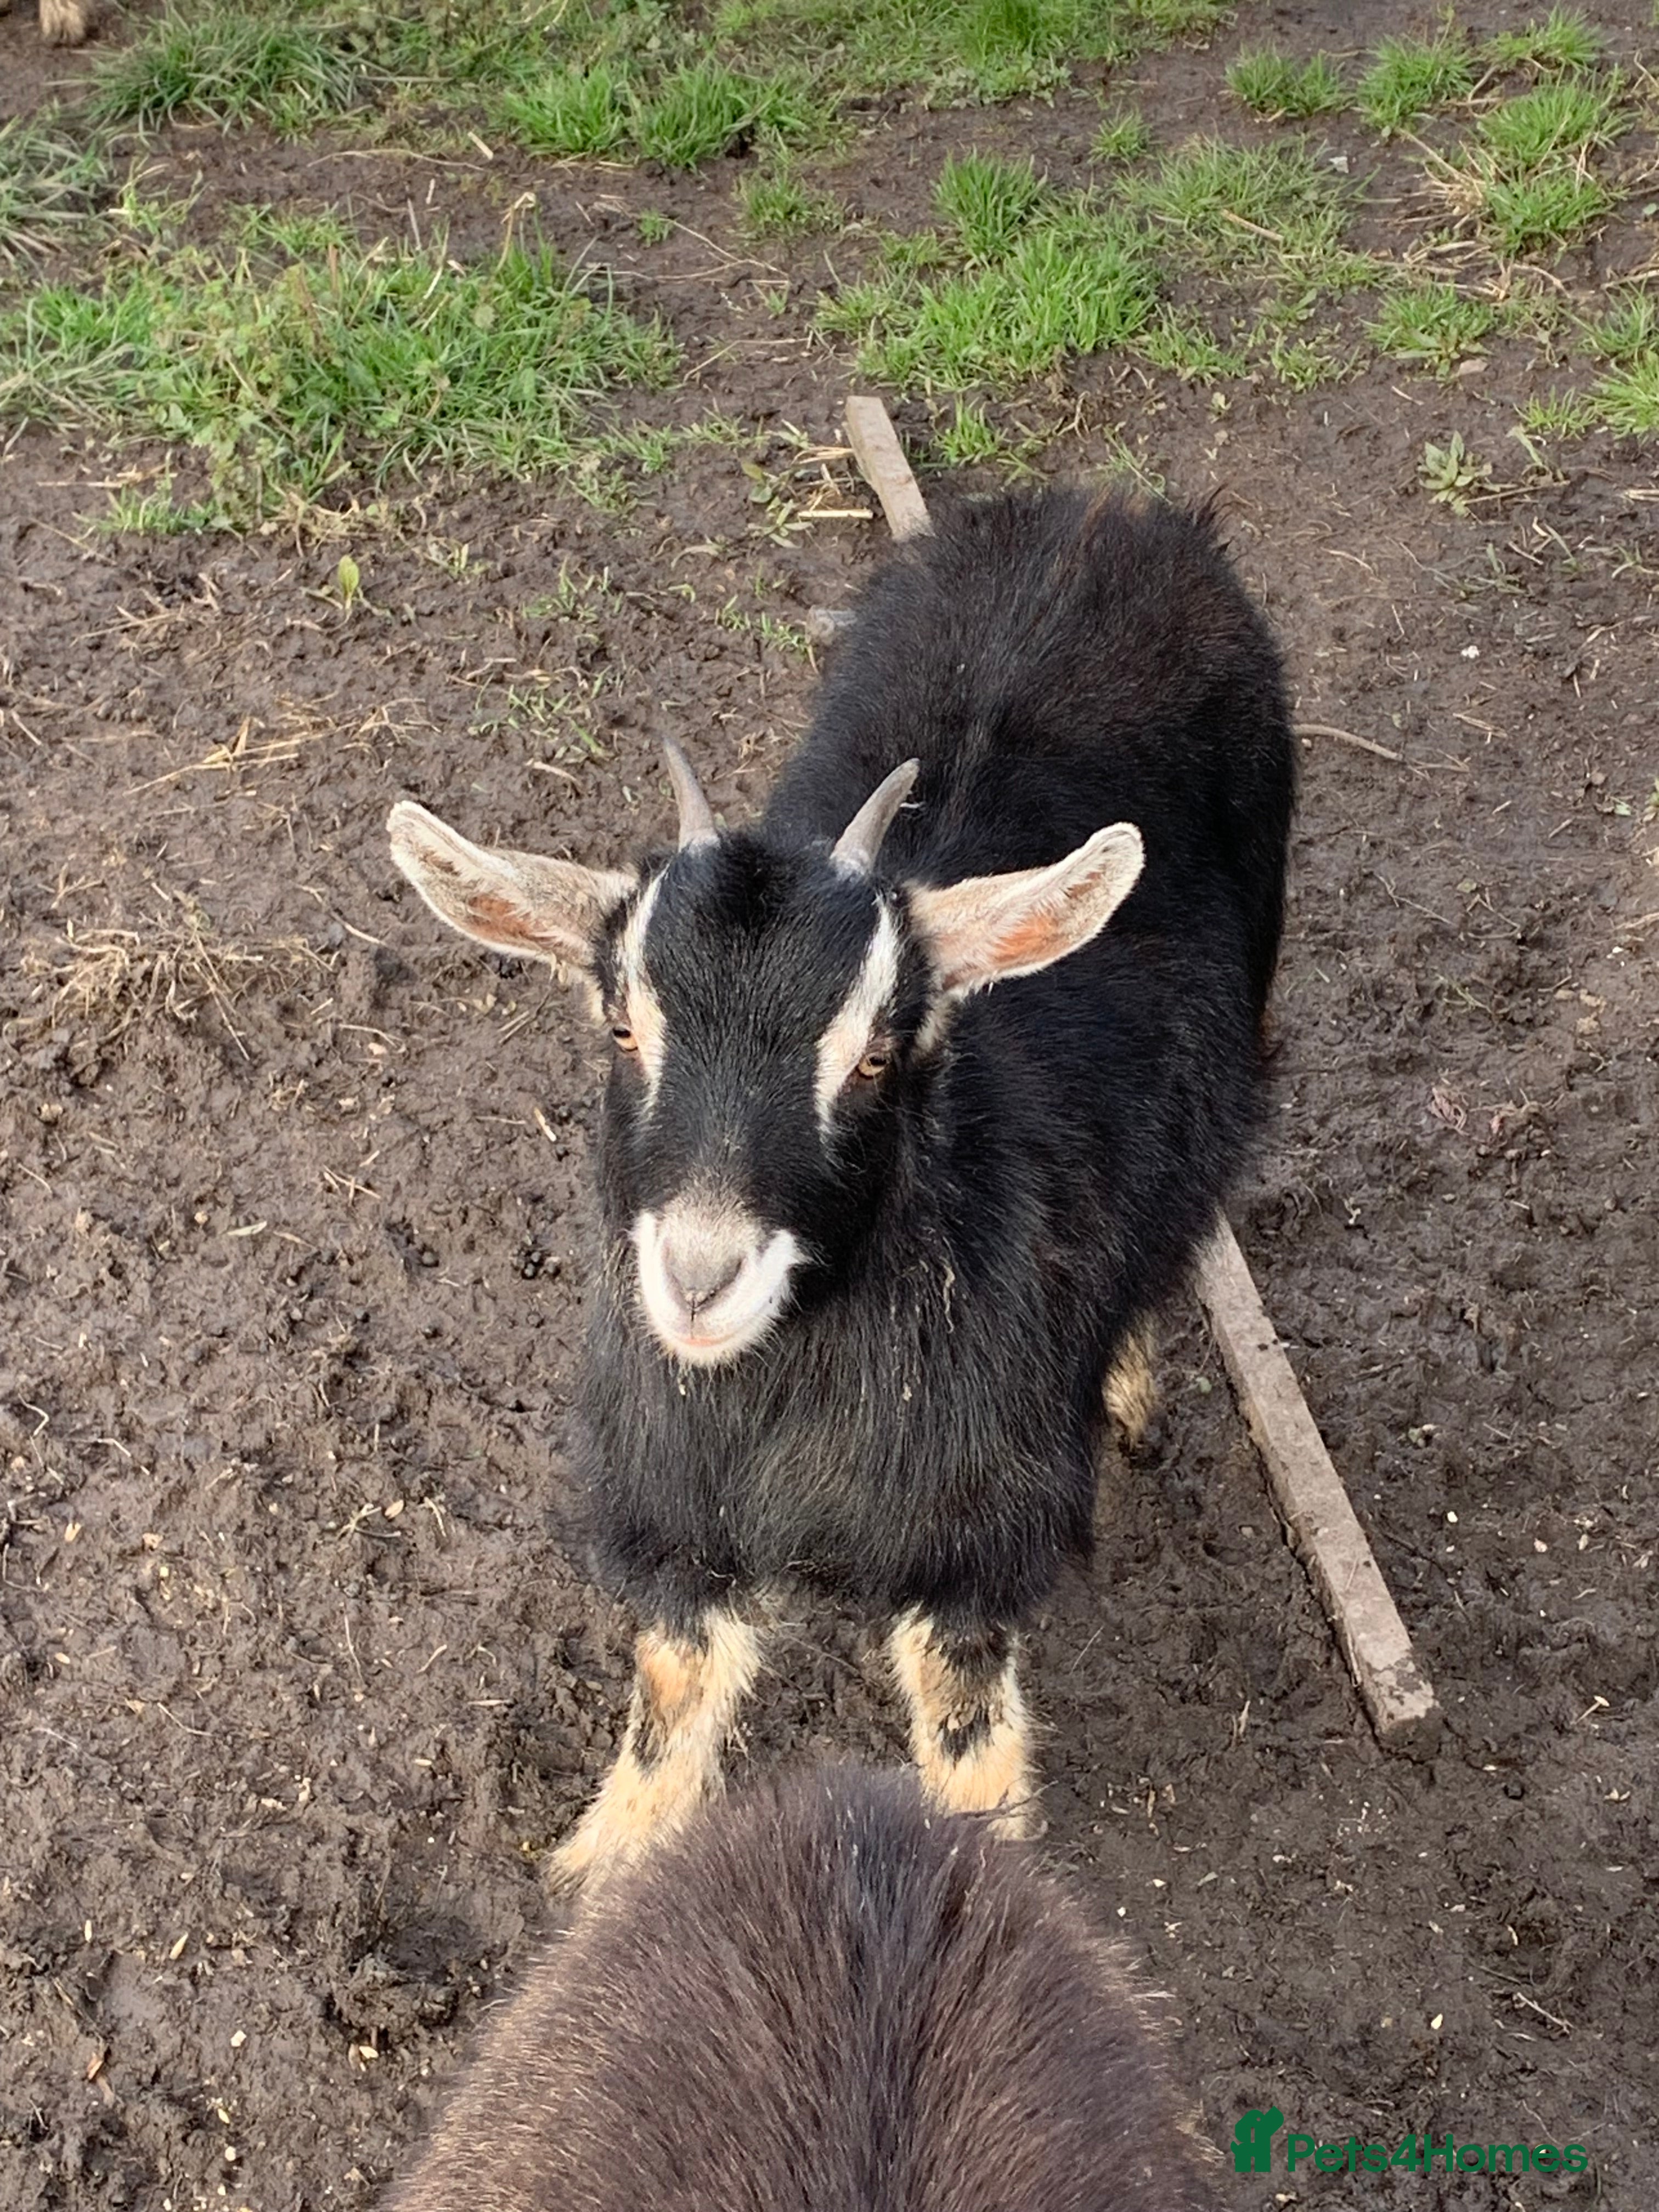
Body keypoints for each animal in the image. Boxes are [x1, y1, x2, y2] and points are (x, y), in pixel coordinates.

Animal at [389, 486, 1294, 1890]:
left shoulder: (977, 1545)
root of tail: (1110, 514)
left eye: (878, 1050)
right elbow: (667, 1711)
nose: (700, 1278)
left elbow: (972, 1758)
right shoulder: (675, 1525)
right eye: (622, 1026)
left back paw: (1135, 1385)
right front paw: (595, 1876)